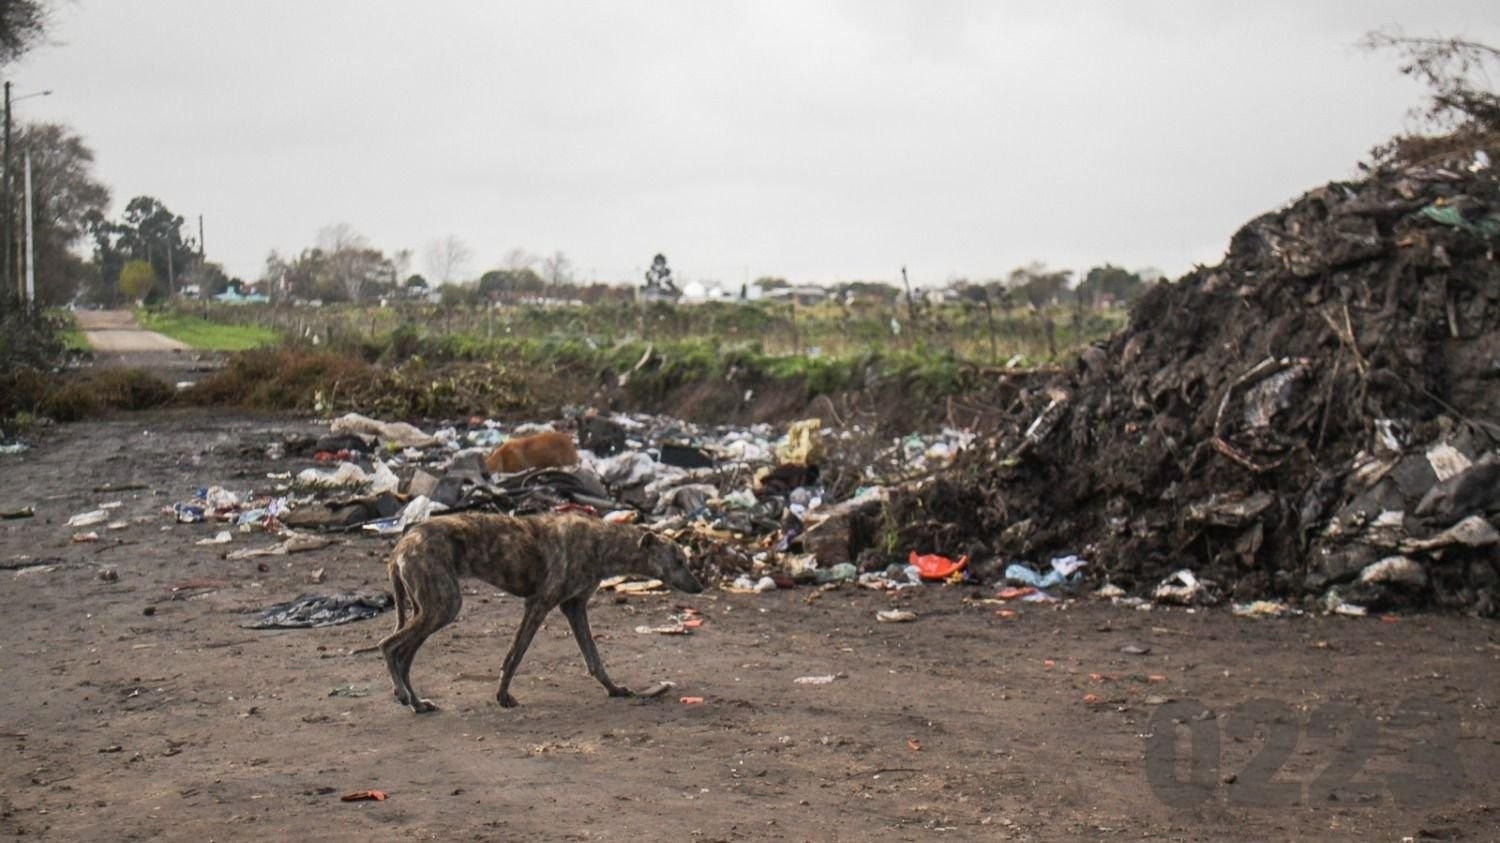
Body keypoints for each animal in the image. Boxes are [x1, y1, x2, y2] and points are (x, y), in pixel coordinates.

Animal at [375, 510, 702, 711]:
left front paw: (613, 689)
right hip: (443, 607)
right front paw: (502, 696)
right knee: (389, 645)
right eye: (678, 560)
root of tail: (402, 542)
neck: (602, 544)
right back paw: (408, 697)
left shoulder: (574, 607)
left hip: (429, 609)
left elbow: (594, 659)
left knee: (403, 654)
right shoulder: (539, 604)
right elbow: (514, 656)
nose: (700, 587)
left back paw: (413, 700)